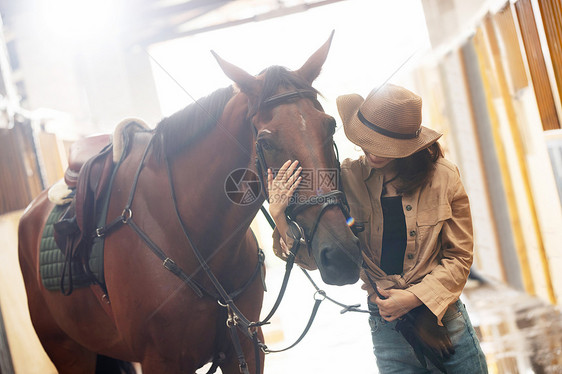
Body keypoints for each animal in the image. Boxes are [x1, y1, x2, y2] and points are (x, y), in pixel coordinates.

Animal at [17, 33, 360, 372]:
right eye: (265, 142)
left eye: (330, 125)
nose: (341, 254)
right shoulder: (161, 361)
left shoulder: (245, 347)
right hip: (70, 352)